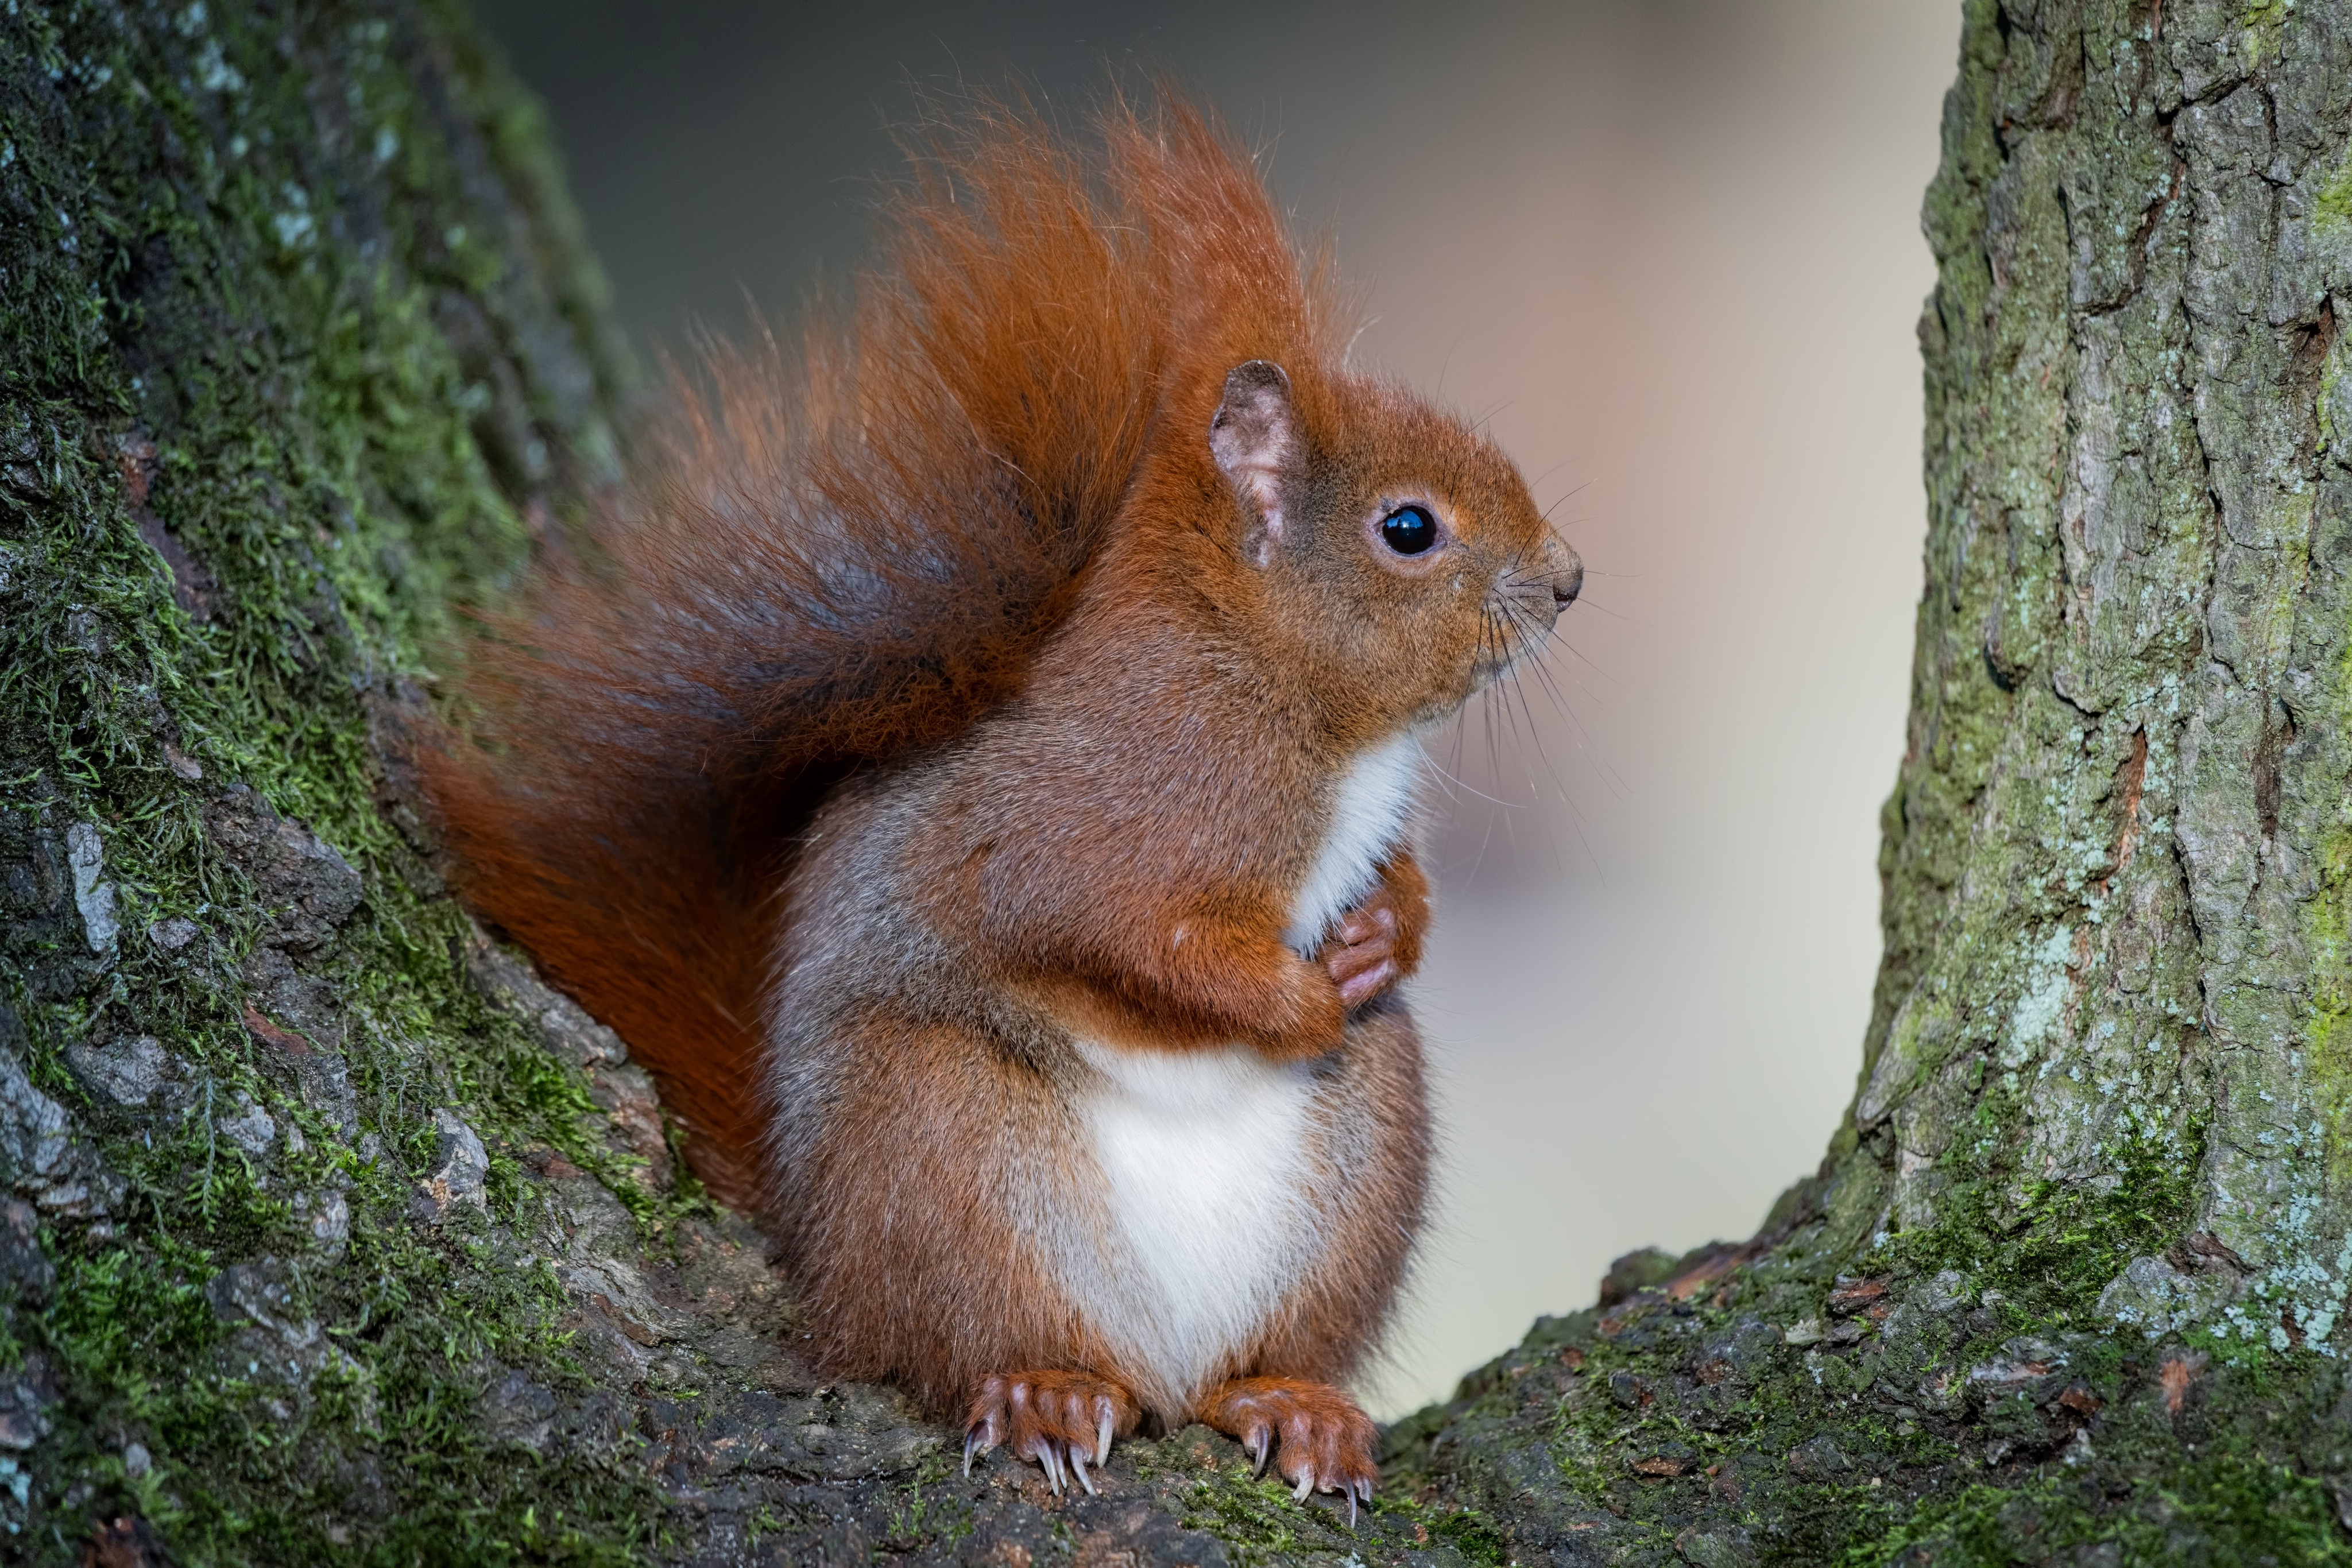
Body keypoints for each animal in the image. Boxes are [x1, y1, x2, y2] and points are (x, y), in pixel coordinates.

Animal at [432, 95, 1589, 1504]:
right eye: (1408, 529)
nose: (1569, 579)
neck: (1302, 707)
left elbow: (1398, 887)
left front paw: (1382, 937)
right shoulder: (1110, 809)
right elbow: (1115, 932)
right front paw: (1296, 995)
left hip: (1360, 1153)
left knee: (1248, 1359)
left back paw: (1293, 1400)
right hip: (946, 1152)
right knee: (965, 1341)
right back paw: (1046, 1388)